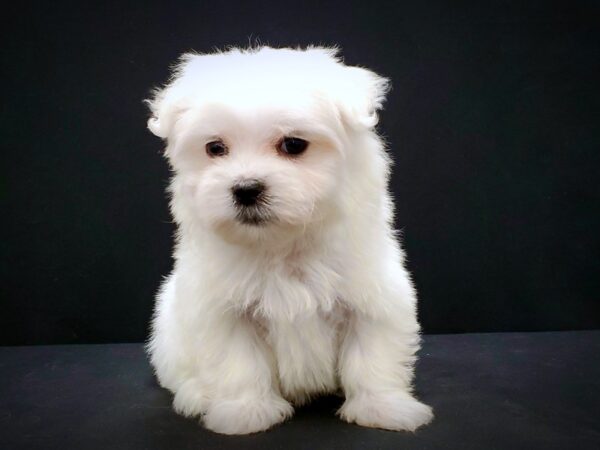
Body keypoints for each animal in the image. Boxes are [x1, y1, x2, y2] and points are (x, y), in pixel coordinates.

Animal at [145, 44, 436, 432]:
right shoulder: (225, 311)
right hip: (170, 333)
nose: (246, 189)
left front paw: (384, 407)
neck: (282, 246)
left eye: (294, 144)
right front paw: (245, 412)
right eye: (215, 148)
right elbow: (239, 363)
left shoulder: (372, 298)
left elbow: (372, 356)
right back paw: (198, 395)